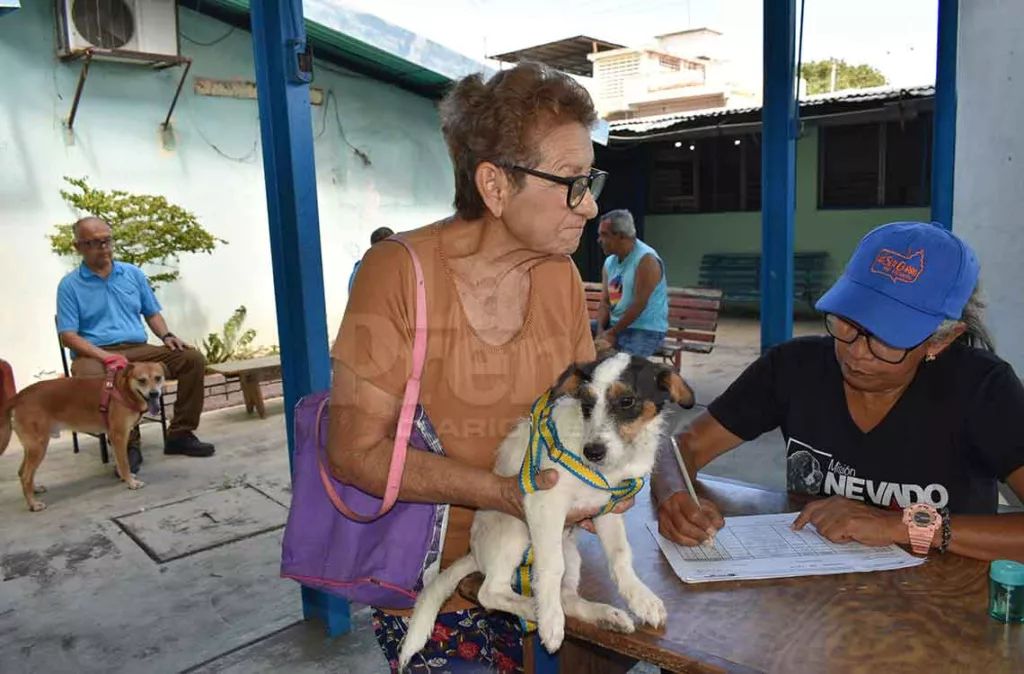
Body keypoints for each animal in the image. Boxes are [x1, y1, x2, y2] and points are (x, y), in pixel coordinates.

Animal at [0, 362, 165, 510]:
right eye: (141, 380)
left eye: (158, 378)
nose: (154, 394)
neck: (123, 389)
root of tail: (19, 396)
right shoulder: (119, 435)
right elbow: (124, 462)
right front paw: (130, 482)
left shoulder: (113, 436)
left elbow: (119, 461)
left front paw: (124, 478)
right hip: (38, 446)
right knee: (25, 476)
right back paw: (33, 504)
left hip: (31, 447)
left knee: (22, 472)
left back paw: (34, 490)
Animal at [399, 348, 696, 663]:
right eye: (586, 403)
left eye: (627, 401)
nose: (593, 452)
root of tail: (474, 554)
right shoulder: (545, 502)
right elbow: (551, 566)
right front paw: (551, 622)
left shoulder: (607, 508)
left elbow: (620, 555)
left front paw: (641, 598)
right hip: (516, 527)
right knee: (491, 592)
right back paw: (537, 610)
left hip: (570, 552)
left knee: (564, 594)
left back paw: (603, 616)